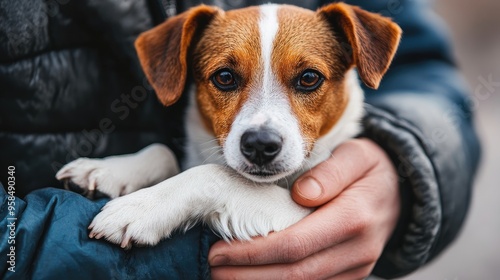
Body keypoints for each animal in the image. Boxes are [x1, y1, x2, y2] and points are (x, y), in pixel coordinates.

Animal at [55, 1, 398, 247]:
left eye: (310, 78)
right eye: (224, 77)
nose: (260, 145)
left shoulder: (303, 215)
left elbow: (214, 174)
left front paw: (142, 207)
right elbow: (163, 151)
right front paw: (109, 169)